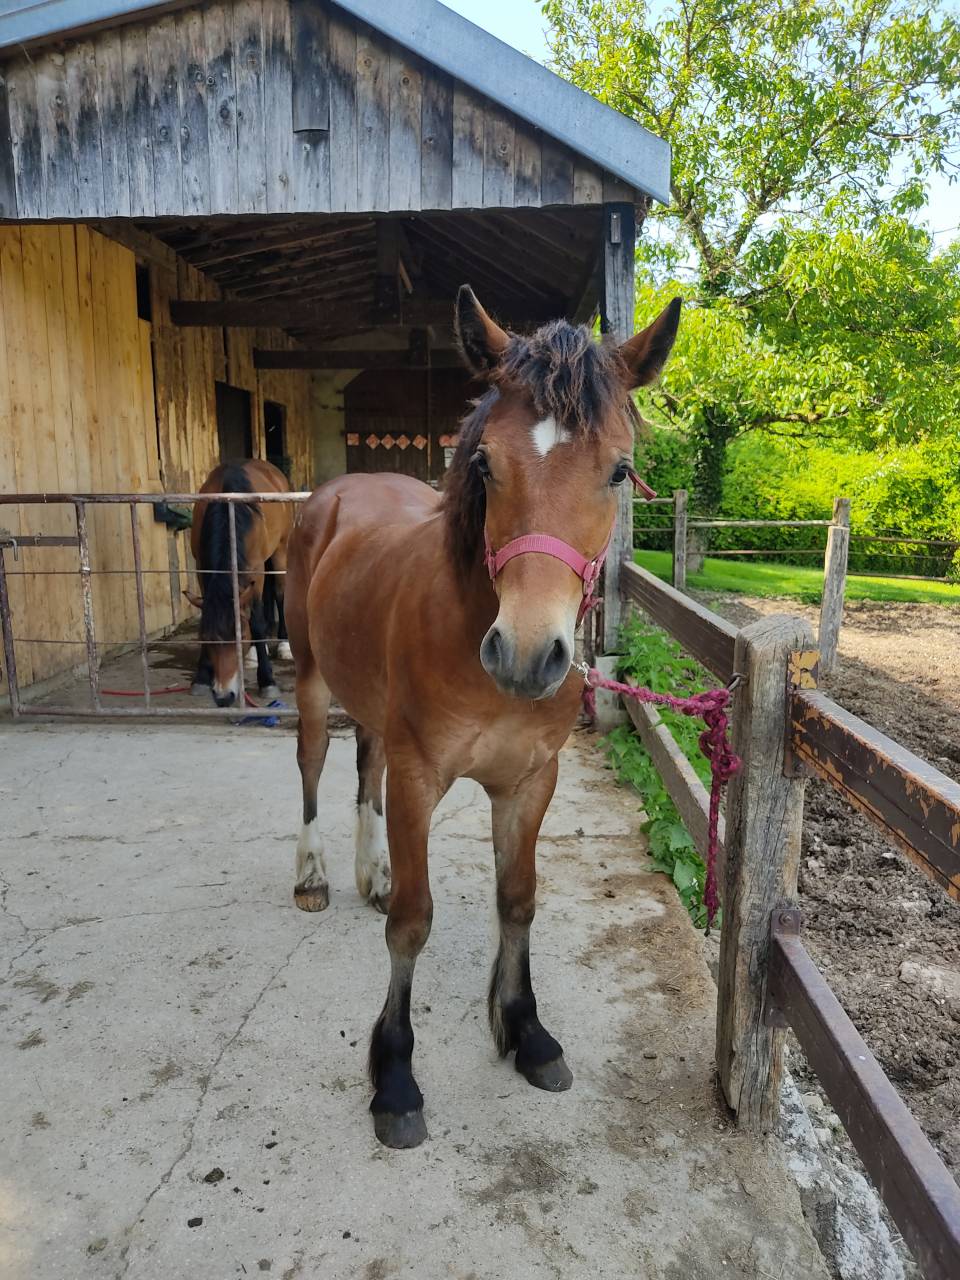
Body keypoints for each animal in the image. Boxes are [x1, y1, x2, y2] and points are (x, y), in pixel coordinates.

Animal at [185, 459, 294, 707]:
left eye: (240, 636)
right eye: (205, 638)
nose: (224, 696)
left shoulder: (256, 569)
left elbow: (257, 621)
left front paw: (267, 682)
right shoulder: (202, 568)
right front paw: (201, 678)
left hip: (280, 551)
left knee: (280, 594)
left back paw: (284, 645)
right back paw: (254, 654)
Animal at [284, 287, 681, 1148]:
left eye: (619, 470)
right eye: (485, 464)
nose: (527, 655)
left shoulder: (530, 782)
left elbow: (518, 899)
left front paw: (524, 1029)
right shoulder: (419, 779)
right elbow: (413, 922)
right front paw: (395, 1076)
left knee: (363, 765)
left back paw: (369, 872)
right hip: (309, 680)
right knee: (312, 765)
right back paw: (315, 876)